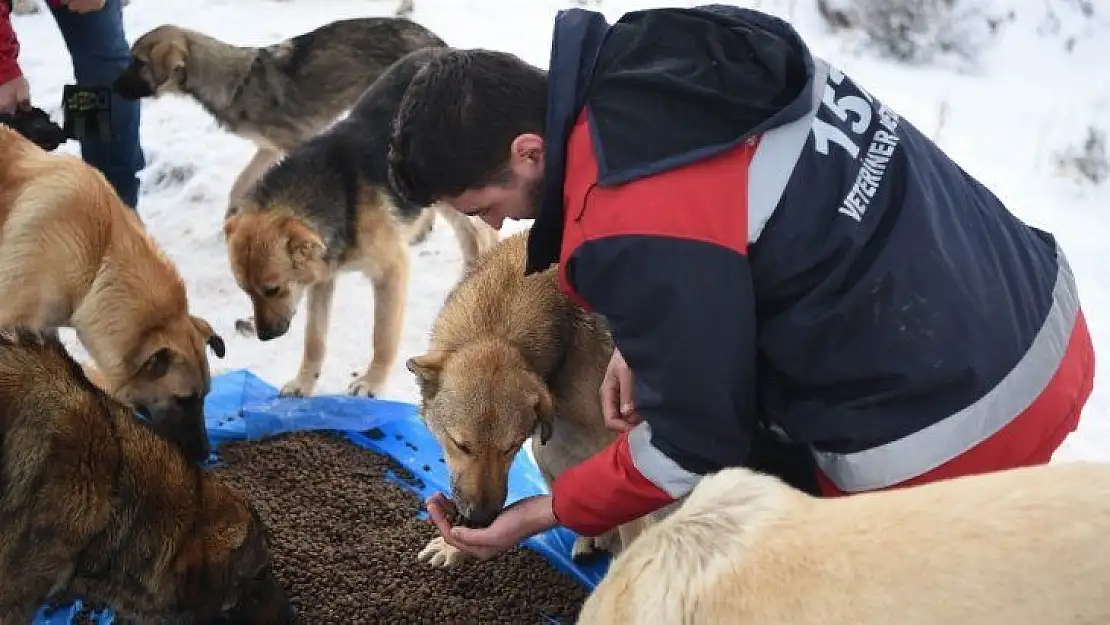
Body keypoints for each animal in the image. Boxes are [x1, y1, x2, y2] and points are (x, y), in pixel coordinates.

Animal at [109, 16, 446, 215]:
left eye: (138, 63)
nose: (111, 87)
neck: (232, 82)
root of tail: (436, 42)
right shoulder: (268, 148)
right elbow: (238, 186)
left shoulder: (296, 143)